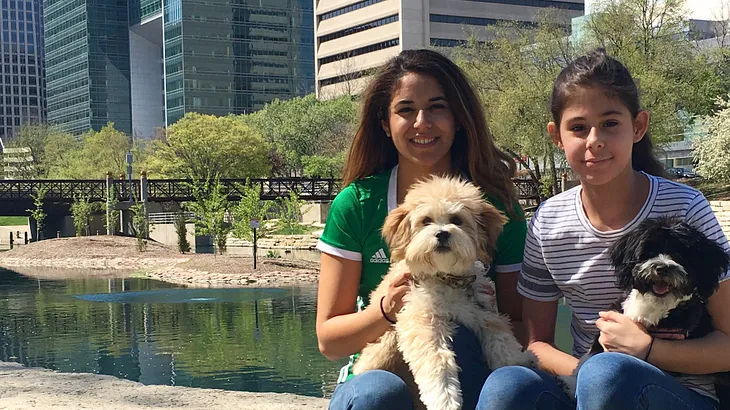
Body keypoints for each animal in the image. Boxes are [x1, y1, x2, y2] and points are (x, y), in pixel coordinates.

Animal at [352, 175, 536, 410]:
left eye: (457, 219)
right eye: (426, 220)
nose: (442, 233)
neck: (446, 277)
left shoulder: (483, 310)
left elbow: (501, 338)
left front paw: (518, 360)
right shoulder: (421, 321)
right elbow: (437, 359)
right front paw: (445, 399)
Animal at [560, 218, 724, 400]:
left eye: (680, 255)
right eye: (650, 251)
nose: (662, 268)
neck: (653, 304)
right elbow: (590, 355)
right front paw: (571, 381)